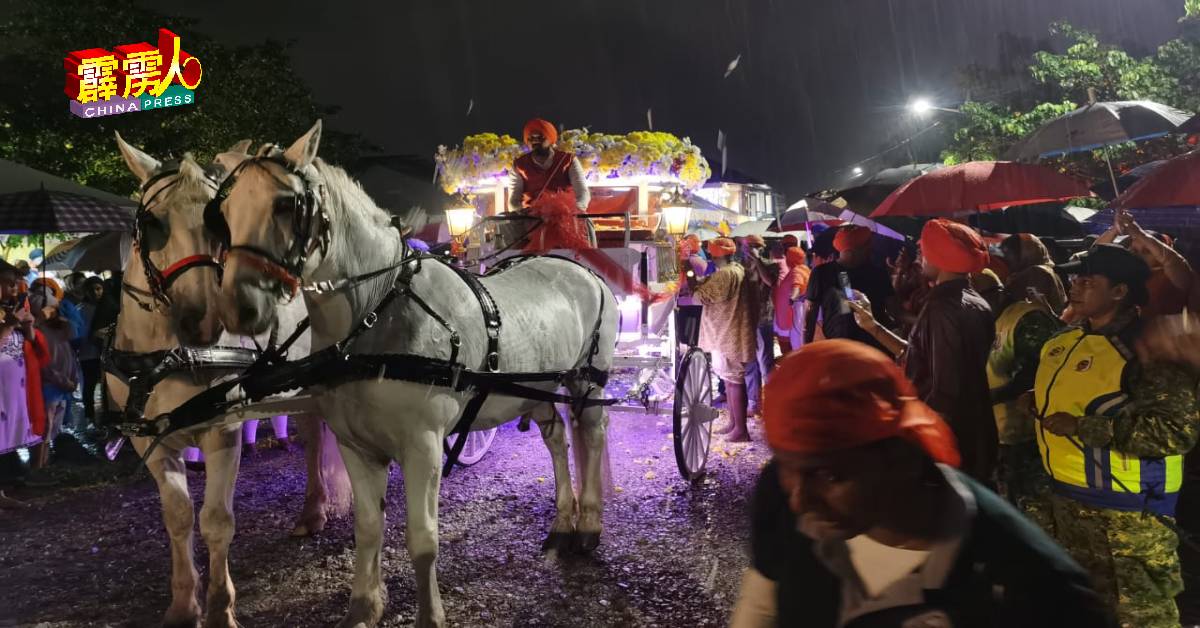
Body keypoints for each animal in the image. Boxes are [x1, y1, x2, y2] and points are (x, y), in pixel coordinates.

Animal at [105, 135, 350, 624]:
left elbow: (216, 520)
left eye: (218, 224)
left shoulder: (223, 430)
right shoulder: (149, 439)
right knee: (313, 436)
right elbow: (179, 517)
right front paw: (184, 603)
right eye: (152, 222)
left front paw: (220, 607)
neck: (172, 354)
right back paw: (311, 511)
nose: (202, 318)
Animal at [205, 120, 614, 624]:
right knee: (558, 440)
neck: (376, 312)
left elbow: (422, 540)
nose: (238, 307)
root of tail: (579, 269)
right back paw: (561, 524)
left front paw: (429, 615)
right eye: (224, 211)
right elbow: (368, 529)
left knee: (592, 437)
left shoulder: (423, 446)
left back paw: (589, 525)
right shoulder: (358, 447)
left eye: (286, 204)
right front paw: (364, 606)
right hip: (535, 389)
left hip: (586, 382)